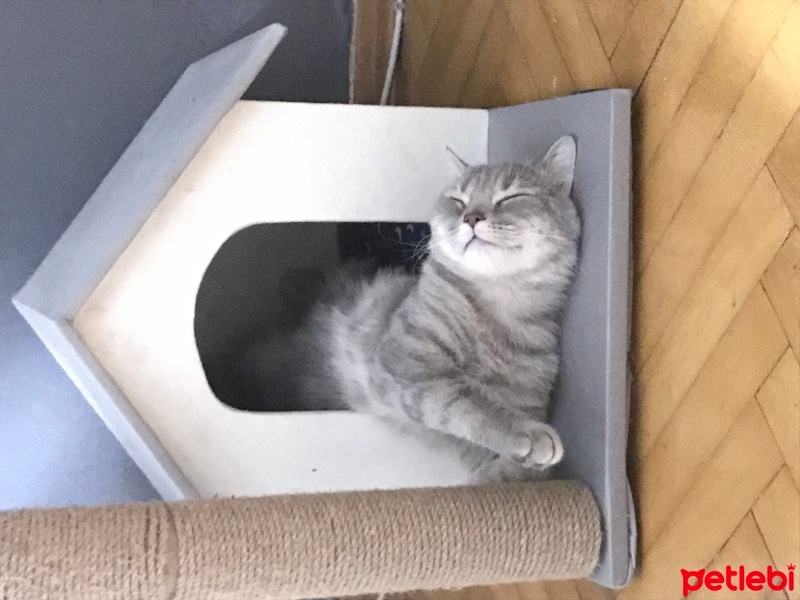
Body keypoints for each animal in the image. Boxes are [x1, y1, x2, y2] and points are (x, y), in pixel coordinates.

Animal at [241, 136, 580, 482]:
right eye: (458, 200)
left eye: (512, 196)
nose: (472, 218)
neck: (496, 309)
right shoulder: (409, 364)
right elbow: (471, 403)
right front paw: (527, 434)